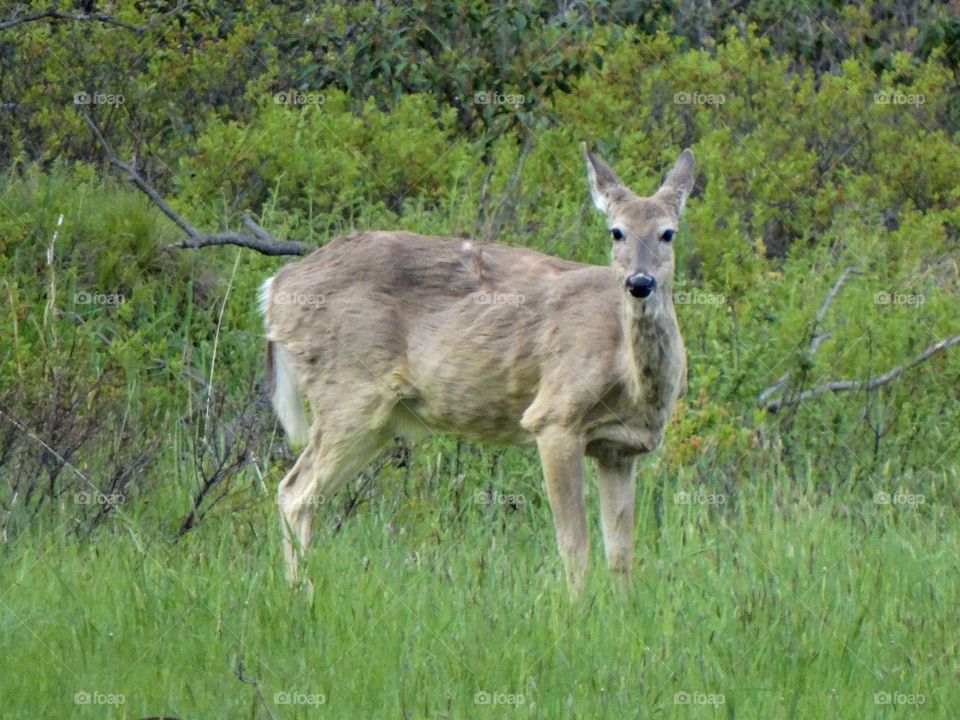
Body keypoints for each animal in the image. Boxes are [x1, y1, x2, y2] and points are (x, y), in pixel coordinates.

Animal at [259, 145, 693, 596]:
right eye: (616, 231)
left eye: (668, 233)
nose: (639, 283)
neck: (630, 377)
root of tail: (274, 287)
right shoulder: (554, 418)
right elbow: (574, 543)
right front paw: (576, 608)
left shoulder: (618, 449)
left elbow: (621, 552)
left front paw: (621, 607)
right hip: (347, 391)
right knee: (294, 491)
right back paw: (301, 593)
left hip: (377, 418)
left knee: (305, 493)